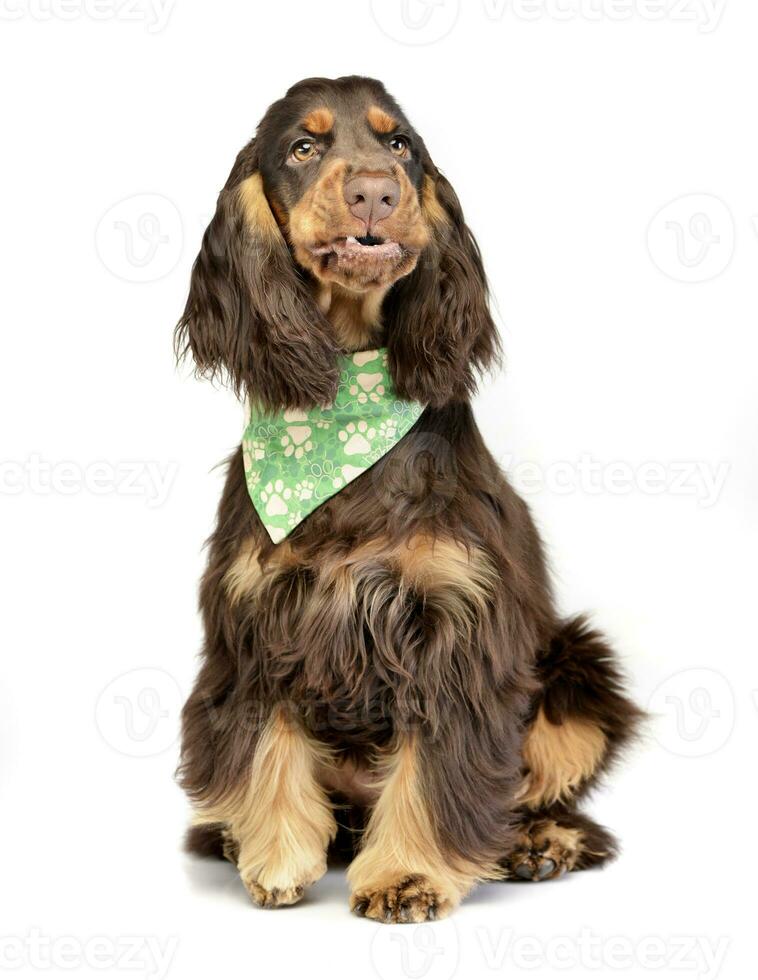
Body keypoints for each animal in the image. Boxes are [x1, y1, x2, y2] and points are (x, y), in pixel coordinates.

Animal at [175, 74, 644, 920]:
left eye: (400, 144)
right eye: (304, 146)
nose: (375, 192)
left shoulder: (454, 627)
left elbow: (435, 765)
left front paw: (407, 875)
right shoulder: (259, 624)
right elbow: (268, 745)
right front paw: (275, 858)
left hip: (577, 666)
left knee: (538, 794)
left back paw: (538, 843)